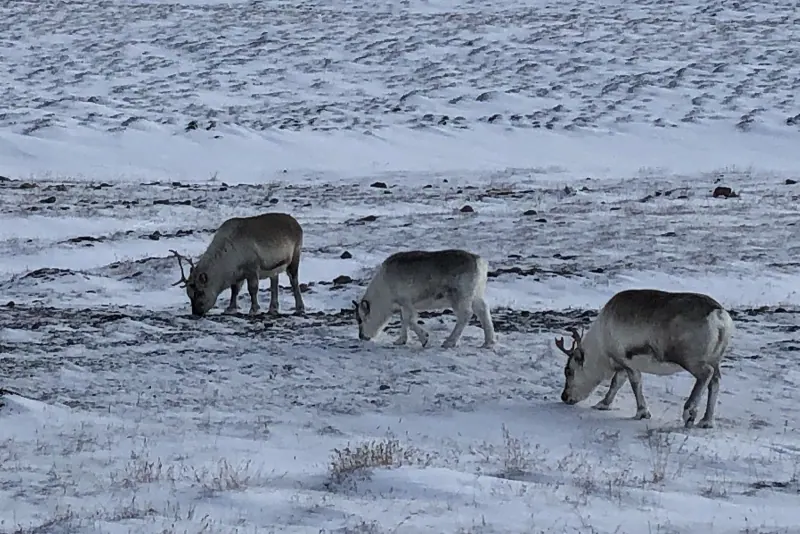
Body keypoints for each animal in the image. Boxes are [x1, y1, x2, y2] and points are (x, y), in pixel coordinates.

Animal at [170, 212, 305, 317]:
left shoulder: (252, 268)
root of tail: (297, 224)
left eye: (200, 292)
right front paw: (230, 308)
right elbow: (234, 290)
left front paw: (253, 309)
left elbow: (253, 289)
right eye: (189, 294)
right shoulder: (238, 274)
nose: (196, 312)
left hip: (295, 255)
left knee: (294, 280)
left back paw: (300, 307)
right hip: (274, 267)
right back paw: (273, 308)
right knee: (274, 282)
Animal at [353, 249, 495, 349]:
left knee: (465, 315)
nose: (361, 336)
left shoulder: (406, 302)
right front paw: (400, 341)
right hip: (476, 296)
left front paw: (425, 339)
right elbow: (404, 321)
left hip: (460, 297)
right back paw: (488, 342)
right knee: (483, 310)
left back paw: (449, 342)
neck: (382, 292)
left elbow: (409, 320)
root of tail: (479, 262)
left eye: (361, 319)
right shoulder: (402, 306)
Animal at [554, 289, 734, 428]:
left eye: (568, 371)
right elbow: (616, 383)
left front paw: (642, 412)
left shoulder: (627, 360)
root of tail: (719, 316)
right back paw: (707, 421)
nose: (564, 396)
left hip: (690, 359)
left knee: (705, 374)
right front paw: (603, 404)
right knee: (715, 381)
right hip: (715, 359)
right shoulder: (622, 365)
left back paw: (689, 413)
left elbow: (634, 383)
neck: (601, 345)